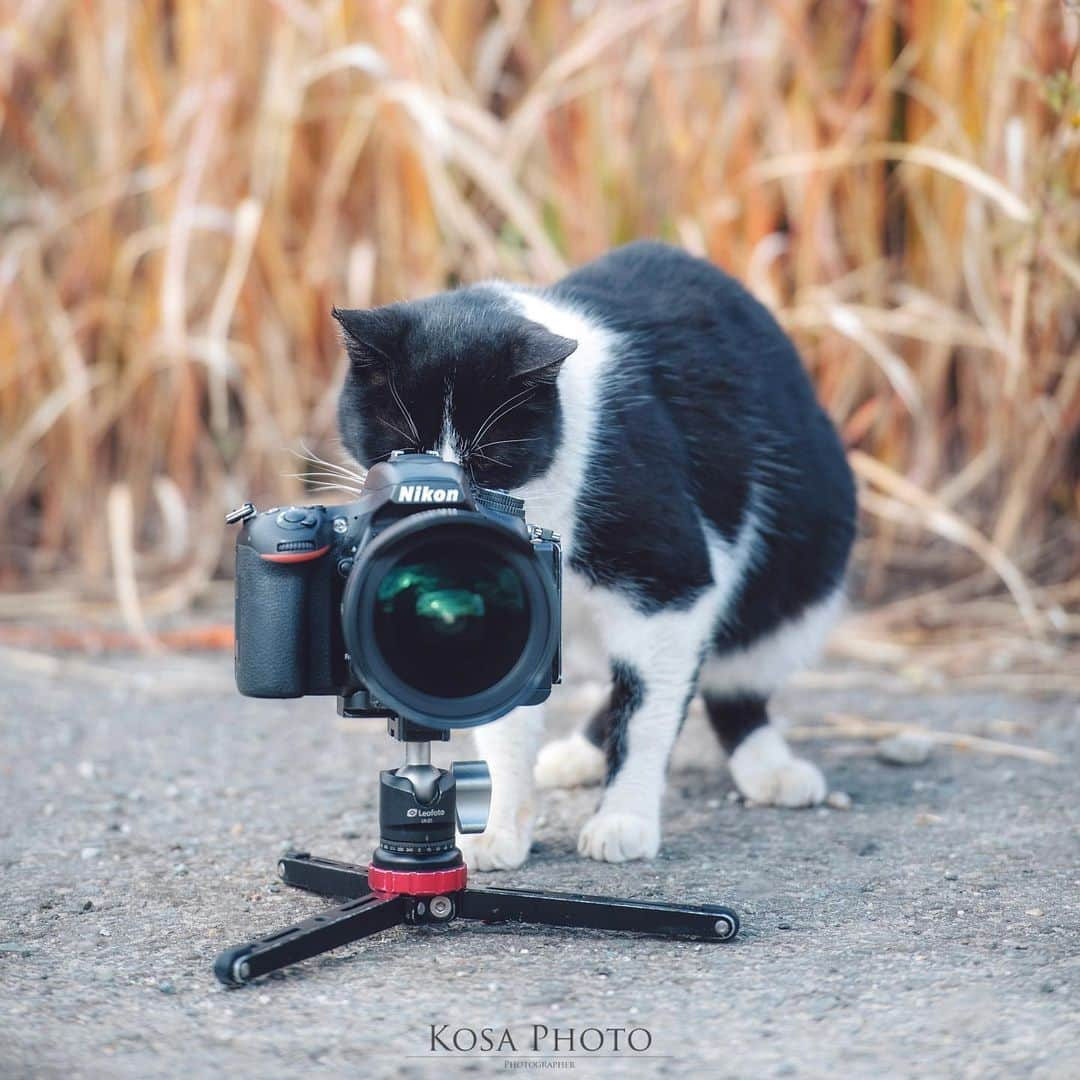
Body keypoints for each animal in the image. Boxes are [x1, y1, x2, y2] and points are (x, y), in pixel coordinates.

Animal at [332, 243, 855, 868]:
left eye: (489, 461)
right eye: (401, 450)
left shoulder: (668, 581)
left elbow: (648, 709)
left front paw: (624, 817)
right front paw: (501, 827)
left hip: (803, 565)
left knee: (730, 679)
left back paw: (769, 766)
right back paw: (577, 754)